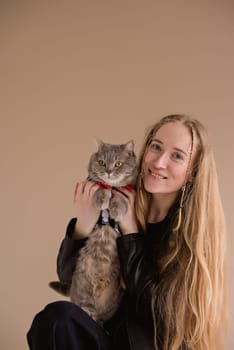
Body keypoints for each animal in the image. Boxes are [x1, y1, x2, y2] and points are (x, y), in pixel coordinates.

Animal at [49, 139, 137, 326]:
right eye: (102, 162)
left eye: (118, 164)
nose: (109, 172)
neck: (111, 186)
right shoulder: (90, 183)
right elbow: (98, 187)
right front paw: (101, 199)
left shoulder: (128, 191)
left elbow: (121, 198)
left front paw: (116, 209)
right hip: (83, 284)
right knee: (86, 305)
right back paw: (88, 312)